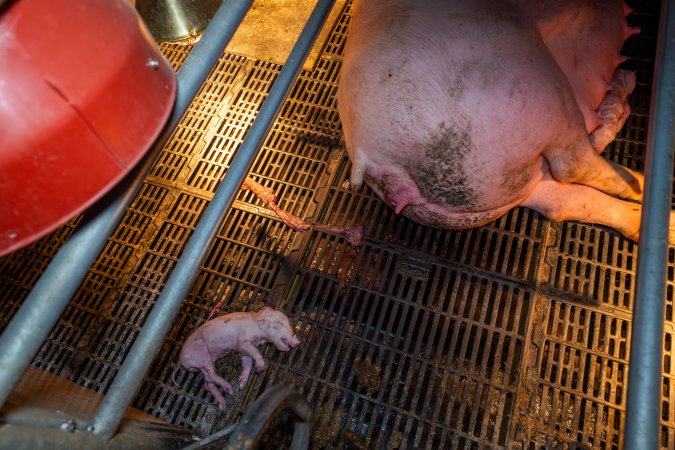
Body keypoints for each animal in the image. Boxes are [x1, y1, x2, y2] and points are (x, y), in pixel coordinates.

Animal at [338, 0, 675, 244]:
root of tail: (372, 157)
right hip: (533, 97)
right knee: (574, 165)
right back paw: (644, 183)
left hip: (500, 180)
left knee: (563, 201)